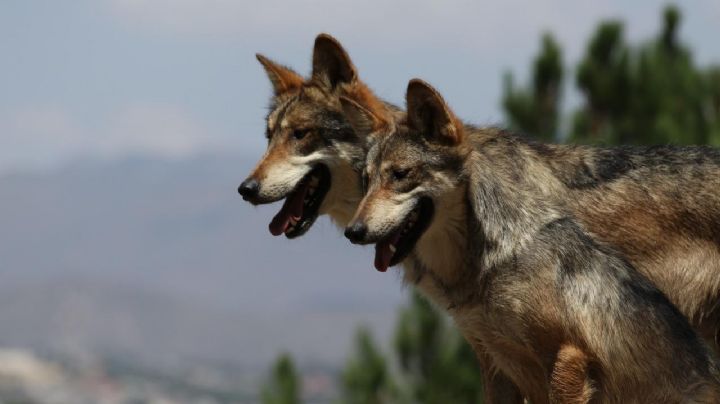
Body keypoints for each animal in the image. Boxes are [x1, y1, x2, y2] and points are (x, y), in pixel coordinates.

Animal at [342, 79, 720, 403]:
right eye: (366, 180)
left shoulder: (567, 357)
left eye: (400, 175)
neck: (487, 263)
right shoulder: (495, 365)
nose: (352, 232)